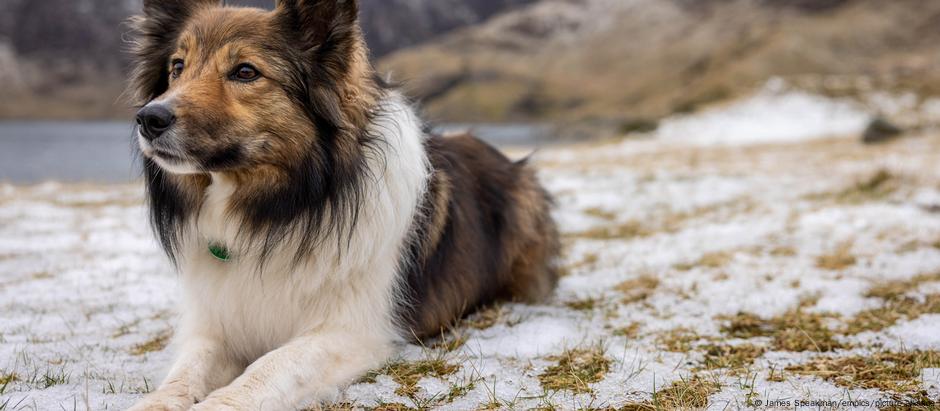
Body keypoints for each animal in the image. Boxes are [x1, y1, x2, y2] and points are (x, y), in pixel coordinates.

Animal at [129, 1, 560, 410]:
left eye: (245, 72)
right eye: (177, 67)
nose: (149, 118)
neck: (282, 209)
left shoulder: (352, 332)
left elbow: (271, 367)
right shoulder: (217, 325)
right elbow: (186, 370)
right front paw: (156, 402)